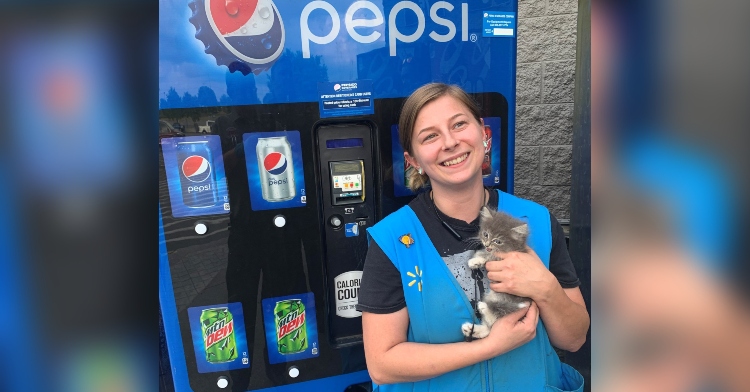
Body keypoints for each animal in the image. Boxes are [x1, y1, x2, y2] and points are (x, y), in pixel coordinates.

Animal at [462, 205, 532, 340]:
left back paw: (484, 307)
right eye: (486, 234)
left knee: (498, 315)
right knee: (489, 329)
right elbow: (485, 253)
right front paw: (477, 259)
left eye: (498, 241)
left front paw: (475, 260)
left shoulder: (504, 258)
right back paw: (470, 329)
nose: (487, 244)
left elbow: (490, 255)